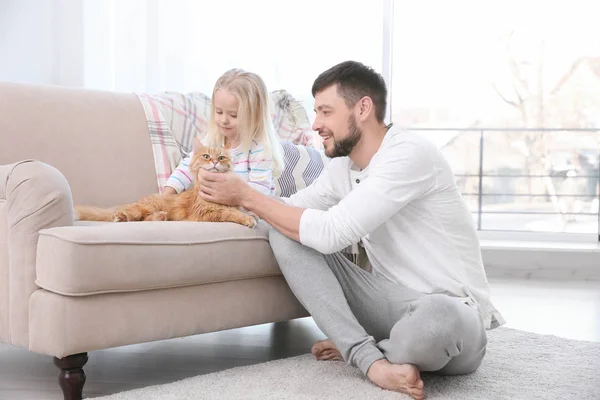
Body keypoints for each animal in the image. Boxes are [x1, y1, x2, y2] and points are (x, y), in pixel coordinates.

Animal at [74, 141, 258, 228]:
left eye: (221, 158)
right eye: (206, 156)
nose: (214, 162)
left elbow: (237, 210)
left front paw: (251, 215)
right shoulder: (207, 212)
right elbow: (231, 213)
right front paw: (248, 219)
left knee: (144, 219)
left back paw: (161, 216)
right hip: (144, 207)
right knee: (128, 216)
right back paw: (120, 217)